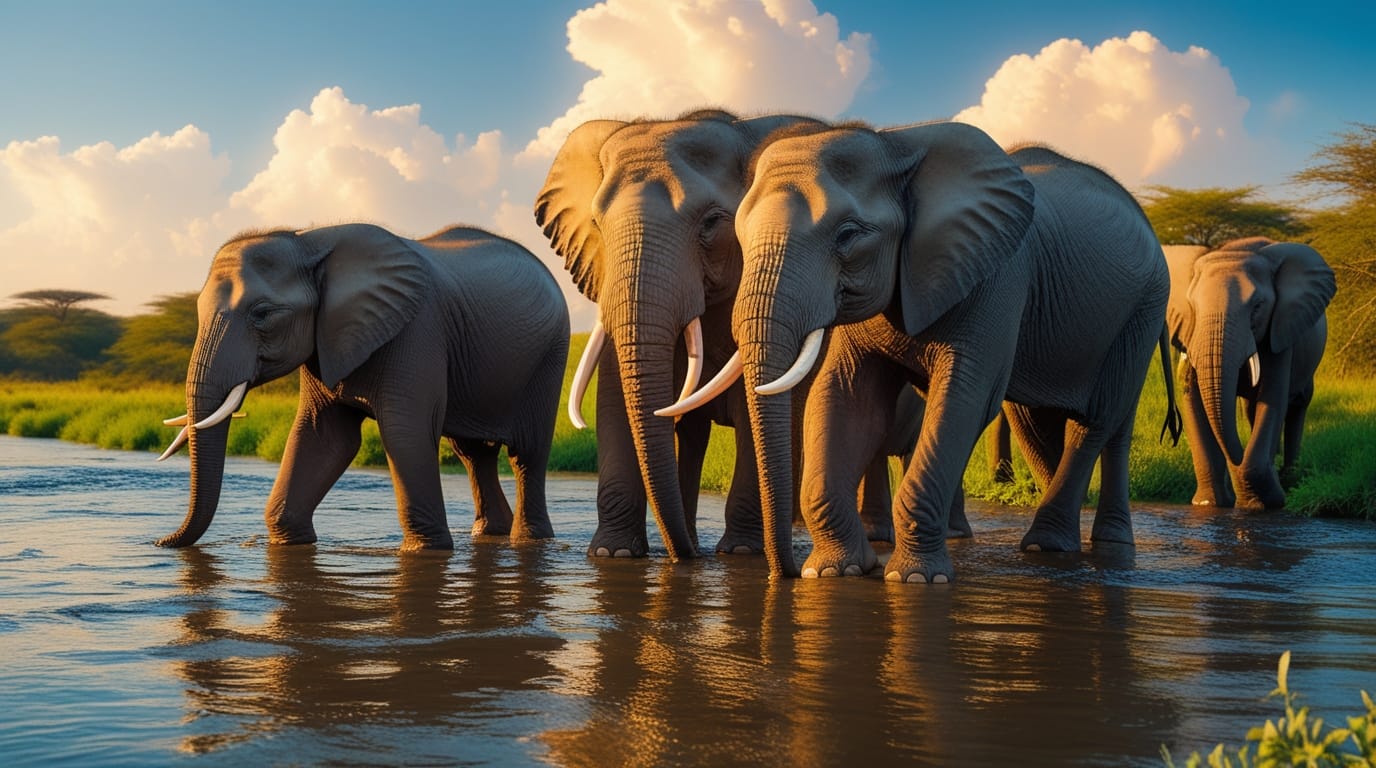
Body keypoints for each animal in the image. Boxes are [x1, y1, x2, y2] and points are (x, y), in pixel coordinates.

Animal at [154, 223, 570, 550]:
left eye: (263, 314)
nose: (159, 541)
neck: (308, 242)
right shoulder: (325, 341)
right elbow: (325, 436)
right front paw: (289, 538)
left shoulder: (418, 330)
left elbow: (405, 433)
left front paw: (427, 549)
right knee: (473, 454)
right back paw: (489, 533)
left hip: (550, 355)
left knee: (527, 453)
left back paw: (530, 539)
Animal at [535, 110, 914, 559]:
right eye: (596, 224)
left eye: (713, 223)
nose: (685, 557)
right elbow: (613, 393)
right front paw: (615, 554)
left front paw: (741, 552)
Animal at [670, 121, 1178, 582]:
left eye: (848, 235)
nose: (787, 574)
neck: (894, 146)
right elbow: (850, 396)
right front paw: (836, 572)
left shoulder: (998, 275)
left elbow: (965, 395)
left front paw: (913, 579)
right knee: (1042, 423)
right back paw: (1076, 541)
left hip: (1143, 306)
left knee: (1095, 421)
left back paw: (1054, 545)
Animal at [1164, 237, 1335, 509]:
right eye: (1194, 307)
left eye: (1257, 308)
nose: (1237, 457)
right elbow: (1192, 400)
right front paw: (1209, 504)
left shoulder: (1280, 330)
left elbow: (1274, 397)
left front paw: (1263, 503)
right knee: (1252, 409)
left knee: (1298, 404)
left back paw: (1290, 477)